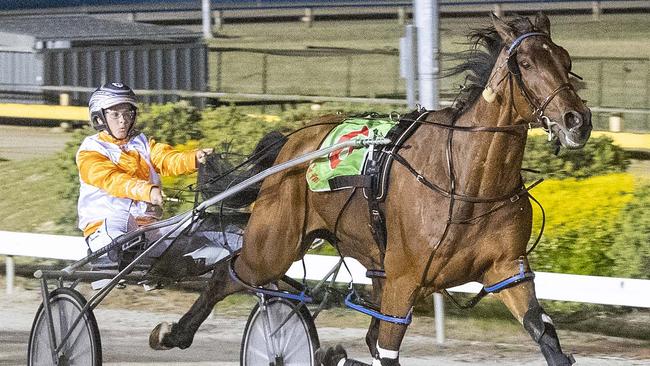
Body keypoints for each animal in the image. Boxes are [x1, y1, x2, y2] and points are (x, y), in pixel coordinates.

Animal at [149, 12, 588, 364]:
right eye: (526, 63)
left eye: (566, 60)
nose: (577, 120)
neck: (466, 181)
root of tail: (293, 141)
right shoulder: (404, 280)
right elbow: (387, 348)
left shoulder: (507, 270)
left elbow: (545, 336)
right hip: (273, 246)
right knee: (229, 273)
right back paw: (174, 333)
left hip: (371, 257)